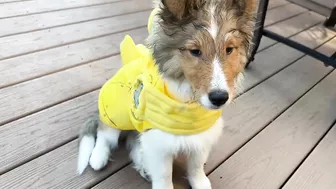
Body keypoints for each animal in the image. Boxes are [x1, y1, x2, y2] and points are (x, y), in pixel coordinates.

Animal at [77, 0, 256, 188]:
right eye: (195, 51)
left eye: (229, 49)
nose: (219, 98)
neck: (188, 106)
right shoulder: (158, 143)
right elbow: (164, 175)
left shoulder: (201, 137)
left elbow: (196, 166)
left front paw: (200, 183)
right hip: (116, 113)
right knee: (105, 133)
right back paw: (98, 158)